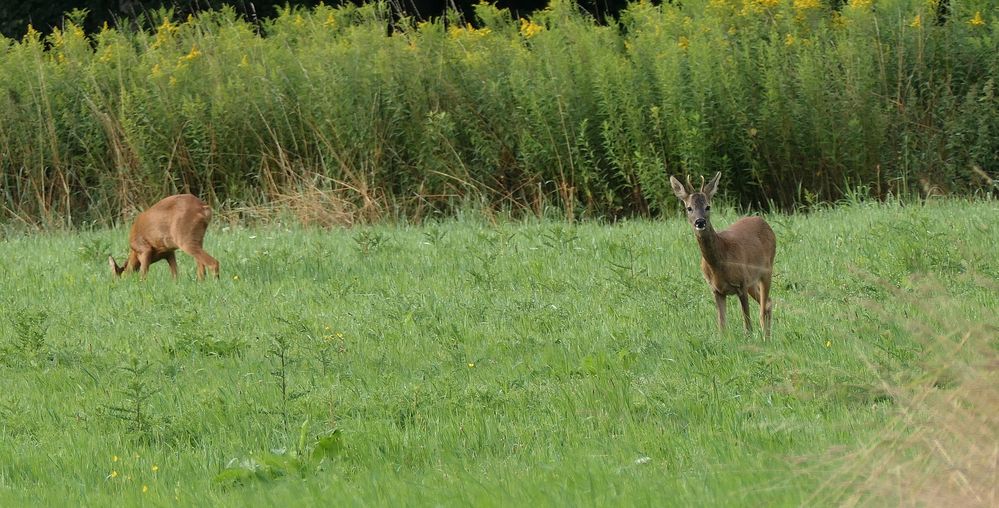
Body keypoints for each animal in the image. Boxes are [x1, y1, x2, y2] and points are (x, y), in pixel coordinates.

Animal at [676, 173, 776, 340]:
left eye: (708, 206)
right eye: (689, 208)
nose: (700, 222)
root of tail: (761, 220)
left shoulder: (741, 284)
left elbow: (747, 325)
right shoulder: (716, 290)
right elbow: (722, 326)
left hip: (766, 270)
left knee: (763, 308)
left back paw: (766, 338)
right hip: (751, 281)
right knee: (767, 302)